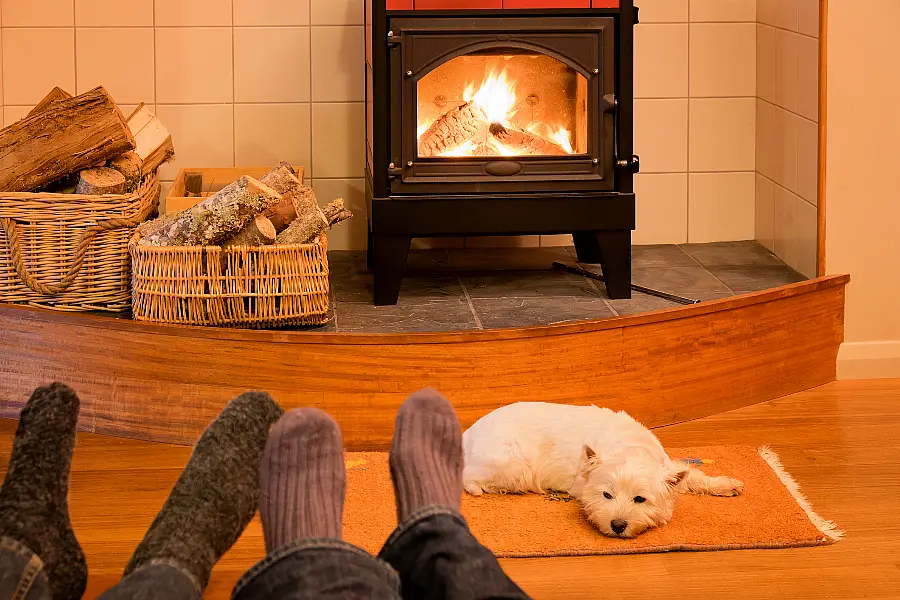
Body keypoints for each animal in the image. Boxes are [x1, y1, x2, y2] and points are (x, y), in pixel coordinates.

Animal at [464, 404, 744, 540]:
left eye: (640, 499)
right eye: (606, 495)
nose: (617, 525)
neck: (631, 447)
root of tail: (467, 433)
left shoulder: (669, 466)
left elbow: (692, 475)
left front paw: (727, 484)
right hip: (514, 467)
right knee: (471, 478)